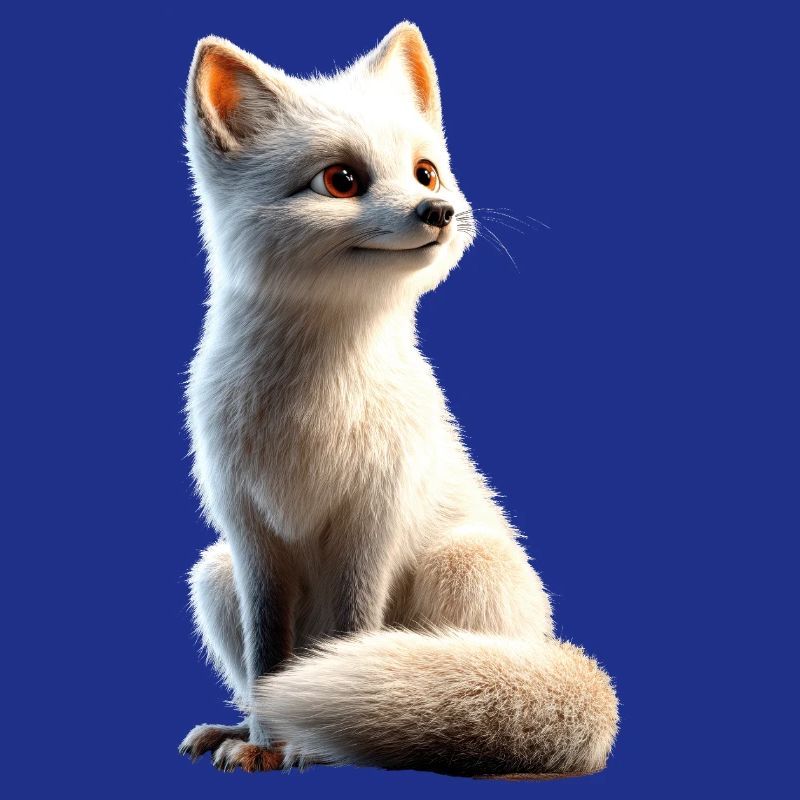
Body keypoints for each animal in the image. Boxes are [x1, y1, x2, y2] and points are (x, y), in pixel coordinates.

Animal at [178, 21, 619, 778]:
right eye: (342, 180)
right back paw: (236, 730)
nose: (437, 212)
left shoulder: (373, 517)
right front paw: (264, 741)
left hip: (463, 566)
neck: (313, 406)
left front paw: (315, 748)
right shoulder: (250, 533)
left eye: (425, 172)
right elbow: (269, 661)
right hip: (214, 575)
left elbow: (354, 632)